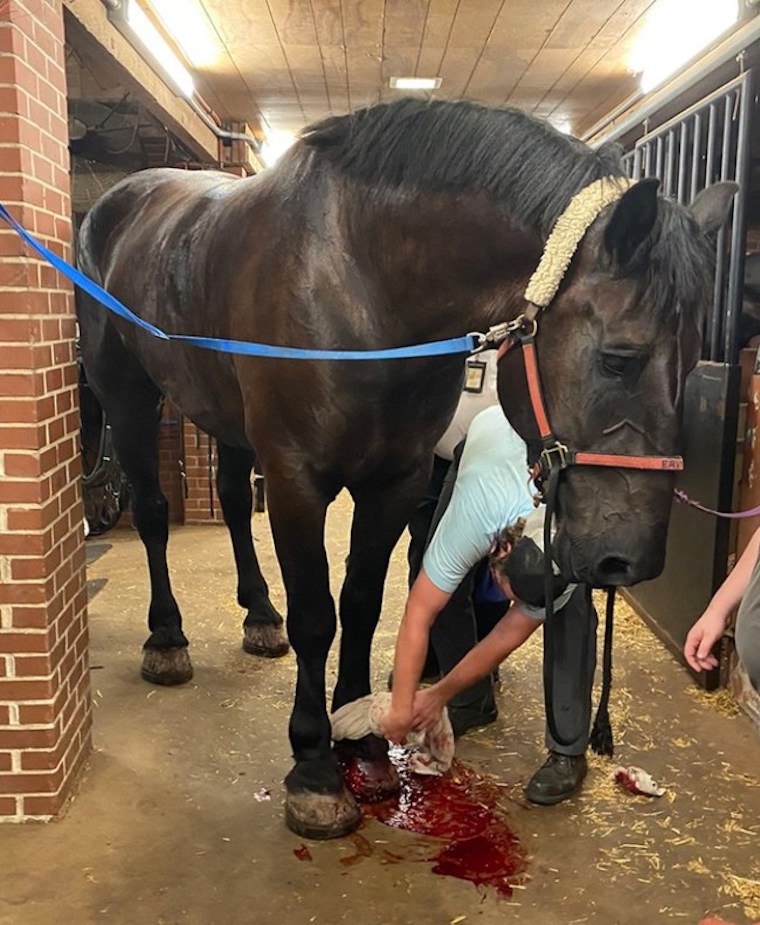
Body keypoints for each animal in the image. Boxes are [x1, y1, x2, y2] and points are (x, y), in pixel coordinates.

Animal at [75, 98, 736, 840]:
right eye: (620, 358)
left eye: (695, 360)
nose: (633, 561)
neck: (357, 278)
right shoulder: (297, 479)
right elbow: (317, 615)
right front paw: (314, 769)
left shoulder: (395, 481)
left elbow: (361, 605)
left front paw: (363, 744)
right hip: (127, 395)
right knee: (154, 513)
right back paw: (166, 640)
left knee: (233, 503)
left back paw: (258, 616)